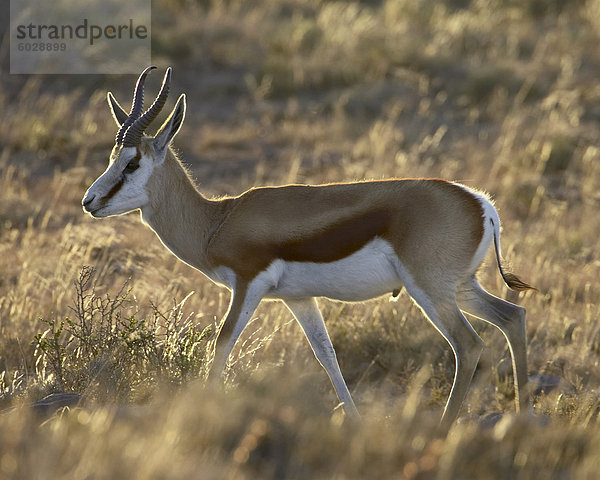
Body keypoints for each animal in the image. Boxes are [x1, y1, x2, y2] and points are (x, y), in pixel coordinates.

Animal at [81, 66, 536, 428]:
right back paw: (525, 417)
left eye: (132, 163)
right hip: (461, 287)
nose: (90, 201)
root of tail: (480, 204)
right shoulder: (298, 299)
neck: (217, 221)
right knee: (512, 316)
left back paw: (444, 429)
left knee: (469, 344)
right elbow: (327, 357)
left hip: (430, 289)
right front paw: (355, 424)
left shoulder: (248, 285)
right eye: (111, 157)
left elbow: (221, 346)